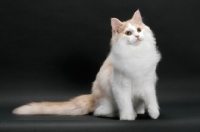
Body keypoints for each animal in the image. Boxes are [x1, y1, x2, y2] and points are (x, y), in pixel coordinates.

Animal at [12, 9, 161, 120]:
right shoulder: (121, 86)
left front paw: (154, 113)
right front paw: (128, 116)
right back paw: (123, 113)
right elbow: (125, 103)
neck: (137, 54)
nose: (137, 36)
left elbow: (151, 100)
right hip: (106, 101)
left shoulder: (148, 82)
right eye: (128, 33)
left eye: (139, 30)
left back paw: (140, 110)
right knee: (100, 112)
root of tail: (92, 98)